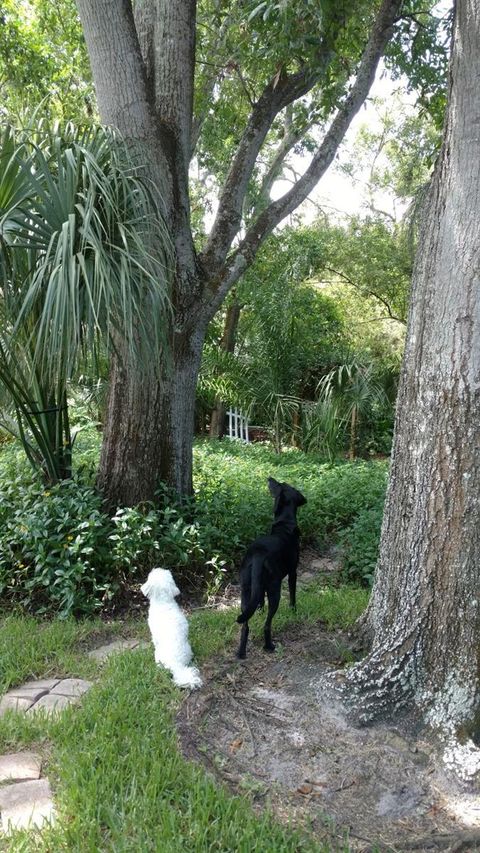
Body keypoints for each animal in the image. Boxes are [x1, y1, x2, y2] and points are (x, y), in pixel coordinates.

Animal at [236, 480, 308, 660]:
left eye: (280, 484)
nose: (269, 478)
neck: (285, 523)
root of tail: (258, 554)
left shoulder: (259, 587)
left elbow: (259, 602)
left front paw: (259, 611)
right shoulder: (293, 572)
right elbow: (293, 594)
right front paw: (293, 610)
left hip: (245, 589)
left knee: (245, 625)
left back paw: (241, 653)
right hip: (275, 590)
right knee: (267, 625)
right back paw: (269, 646)